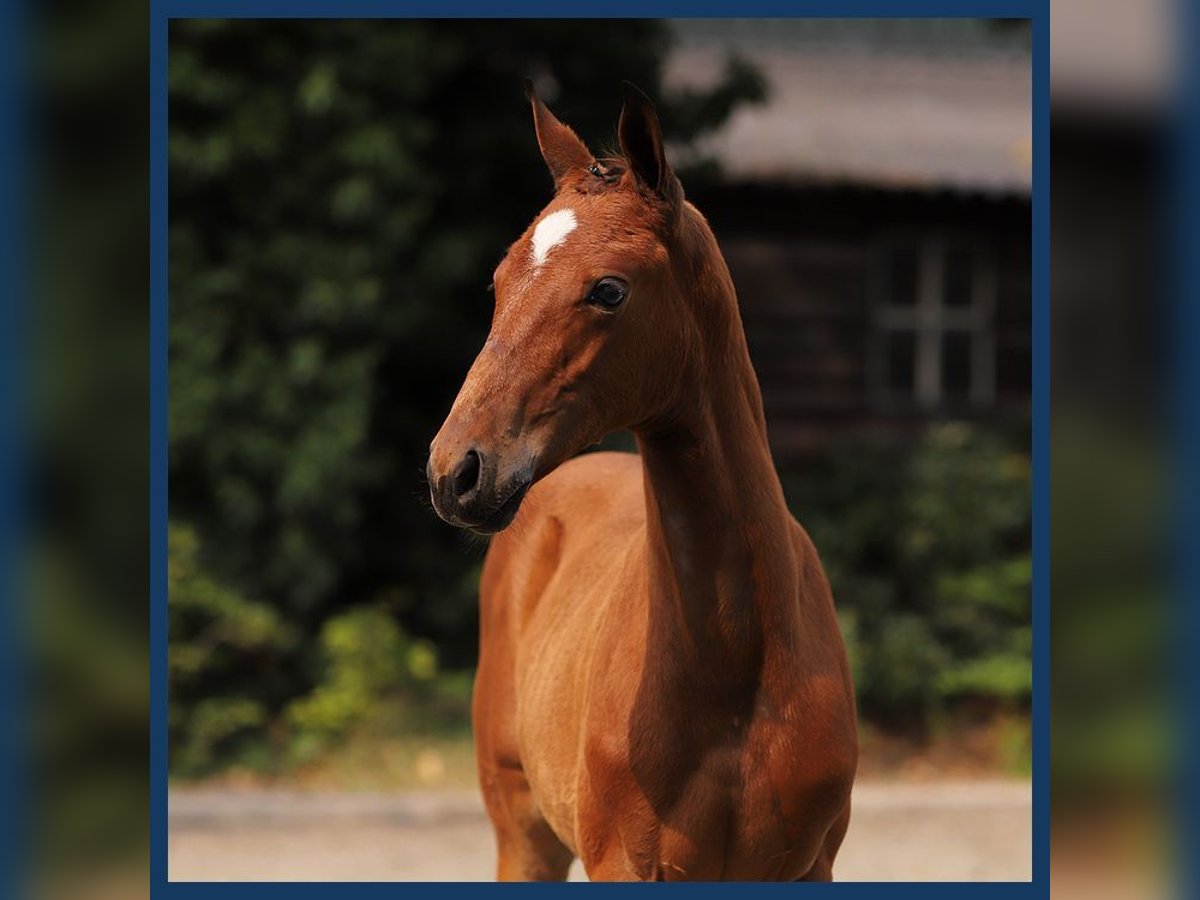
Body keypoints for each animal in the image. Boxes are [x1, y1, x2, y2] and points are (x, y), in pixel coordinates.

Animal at [427, 81, 859, 883]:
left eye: (608, 290)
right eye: (499, 282)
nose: (455, 471)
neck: (739, 673)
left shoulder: (809, 866)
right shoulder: (624, 863)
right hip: (524, 834)